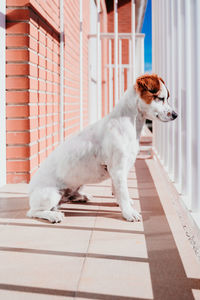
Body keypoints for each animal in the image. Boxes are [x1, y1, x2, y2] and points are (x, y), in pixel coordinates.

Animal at [27, 73, 178, 223]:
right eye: (160, 98)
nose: (176, 115)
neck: (130, 123)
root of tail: (31, 190)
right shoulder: (118, 169)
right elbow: (123, 192)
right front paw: (128, 212)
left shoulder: (120, 169)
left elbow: (117, 190)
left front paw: (122, 203)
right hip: (50, 194)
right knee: (34, 212)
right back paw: (53, 215)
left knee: (68, 197)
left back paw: (81, 197)